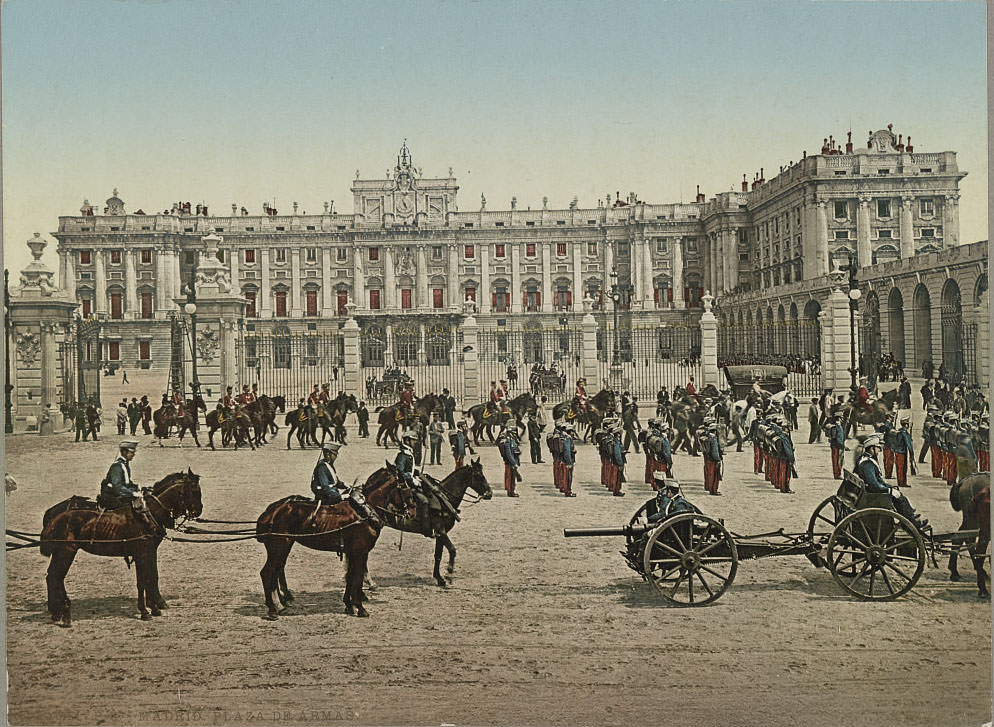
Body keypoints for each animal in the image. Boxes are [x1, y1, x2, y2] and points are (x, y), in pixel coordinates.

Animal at [40, 472, 203, 624]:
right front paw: (146, 610)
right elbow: (144, 581)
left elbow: (151, 577)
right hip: (65, 552)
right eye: (195, 491)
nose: (198, 511)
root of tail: (53, 515)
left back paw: (57, 610)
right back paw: (60, 611)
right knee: (55, 577)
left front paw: (155, 606)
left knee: (53, 577)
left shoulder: (148, 551)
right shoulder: (142, 553)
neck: (147, 514)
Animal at [254, 494, 382, 620]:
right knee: (267, 573)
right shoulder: (360, 552)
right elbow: (358, 579)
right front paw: (360, 608)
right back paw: (272, 610)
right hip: (279, 547)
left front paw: (349, 605)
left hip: (282, 548)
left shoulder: (351, 553)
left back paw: (279, 604)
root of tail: (270, 512)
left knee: (275, 572)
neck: (363, 513)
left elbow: (350, 577)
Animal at [360, 464, 492, 588]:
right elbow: (452, 550)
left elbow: (438, 555)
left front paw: (439, 578)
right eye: (479, 476)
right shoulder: (441, 531)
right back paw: (368, 580)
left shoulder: (440, 534)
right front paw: (448, 574)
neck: (444, 498)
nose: (490, 493)